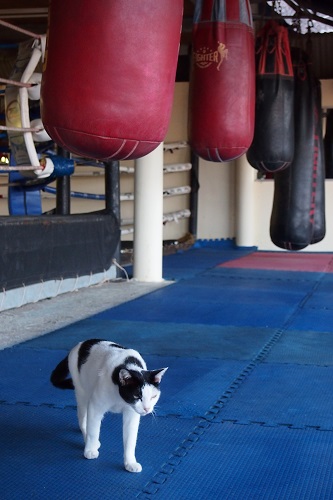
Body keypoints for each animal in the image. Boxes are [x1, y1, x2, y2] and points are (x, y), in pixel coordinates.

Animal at [50, 340, 167, 472]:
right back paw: (89, 439)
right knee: (82, 419)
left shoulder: (131, 414)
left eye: (153, 396)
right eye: (137, 396)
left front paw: (130, 462)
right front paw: (90, 450)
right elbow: (93, 431)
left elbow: (130, 440)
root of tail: (79, 344)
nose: (147, 409)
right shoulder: (96, 406)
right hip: (81, 392)